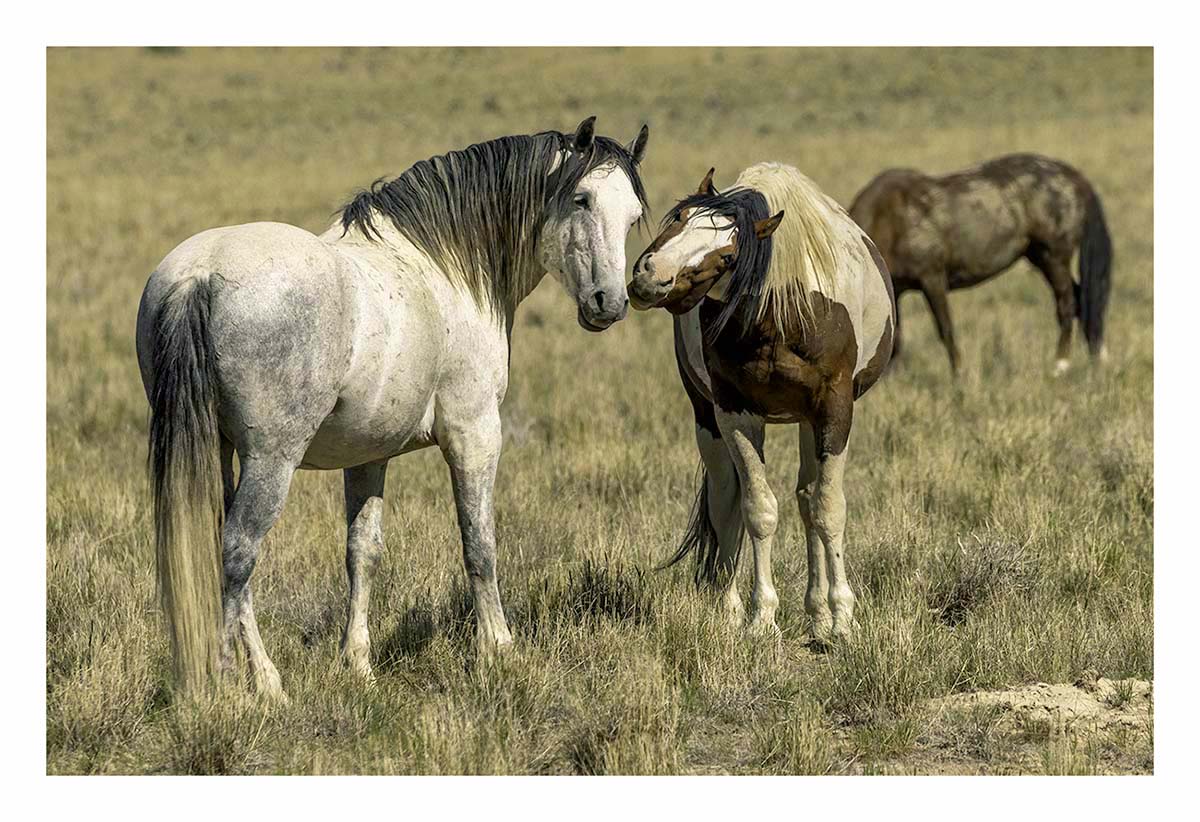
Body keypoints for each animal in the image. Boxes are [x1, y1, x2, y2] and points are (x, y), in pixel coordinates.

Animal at [136, 117, 650, 698]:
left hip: (220, 451)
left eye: (633, 214)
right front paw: (498, 649)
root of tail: (200, 274)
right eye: (581, 199)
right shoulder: (475, 434)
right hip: (271, 460)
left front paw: (357, 663)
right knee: (238, 552)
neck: (444, 268)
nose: (610, 303)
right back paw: (243, 687)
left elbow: (363, 552)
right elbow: (480, 544)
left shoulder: (368, 455)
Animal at [628, 163, 894, 642]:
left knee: (807, 500)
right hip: (707, 420)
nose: (650, 275)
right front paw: (760, 617)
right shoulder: (734, 412)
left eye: (727, 257)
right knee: (725, 502)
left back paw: (818, 615)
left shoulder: (834, 410)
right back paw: (731, 609)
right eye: (680, 219)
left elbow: (828, 509)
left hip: (808, 421)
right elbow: (757, 510)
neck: (782, 314)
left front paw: (842, 618)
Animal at [848, 153, 1112, 376]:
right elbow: (894, 340)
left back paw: (1061, 365)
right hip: (1040, 258)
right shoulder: (896, 290)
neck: (887, 219)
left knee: (1069, 303)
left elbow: (946, 330)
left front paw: (959, 376)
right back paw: (1097, 358)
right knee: (1083, 300)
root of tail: (1073, 177)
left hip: (1054, 257)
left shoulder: (932, 280)